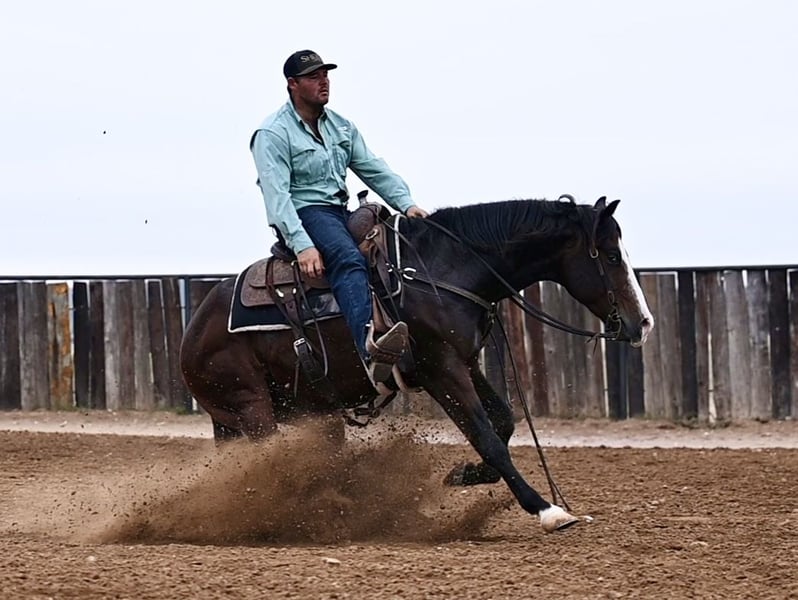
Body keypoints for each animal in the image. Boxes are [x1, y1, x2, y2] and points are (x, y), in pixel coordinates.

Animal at [180, 196, 654, 532]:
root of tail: (192, 333)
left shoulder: (465, 362)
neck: (446, 270)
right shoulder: (439, 369)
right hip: (252, 407)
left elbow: (503, 421)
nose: (643, 323)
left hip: (296, 413)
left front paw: (463, 475)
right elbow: (488, 437)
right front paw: (547, 509)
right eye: (611, 256)